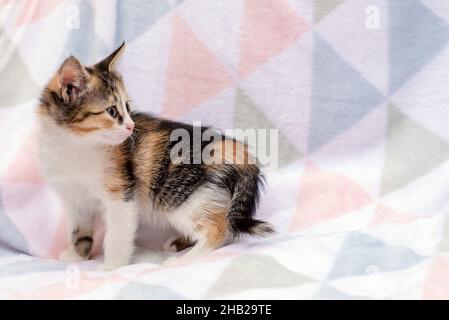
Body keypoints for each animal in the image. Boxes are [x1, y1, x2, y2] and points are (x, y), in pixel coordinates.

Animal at [37, 43, 272, 270]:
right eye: (112, 111)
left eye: (127, 107)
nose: (131, 126)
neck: (74, 145)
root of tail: (230, 146)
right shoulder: (73, 198)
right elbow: (78, 229)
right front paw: (76, 255)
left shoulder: (121, 195)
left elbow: (117, 235)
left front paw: (111, 267)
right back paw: (178, 243)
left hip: (180, 197)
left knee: (219, 227)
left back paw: (183, 259)